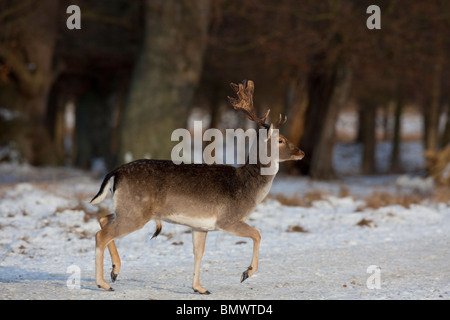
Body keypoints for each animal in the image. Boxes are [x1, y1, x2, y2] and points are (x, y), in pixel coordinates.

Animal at [89, 80, 304, 296]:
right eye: (280, 140)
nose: (301, 152)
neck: (247, 187)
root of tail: (116, 172)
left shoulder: (200, 226)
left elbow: (198, 253)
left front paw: (199, 288)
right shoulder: (228, 218)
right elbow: (257, 234)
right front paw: (246, 273)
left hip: (128, 208)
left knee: (103, 219)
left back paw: (115, 271)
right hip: (135, 212)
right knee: (102, 235)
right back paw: (103, 283)